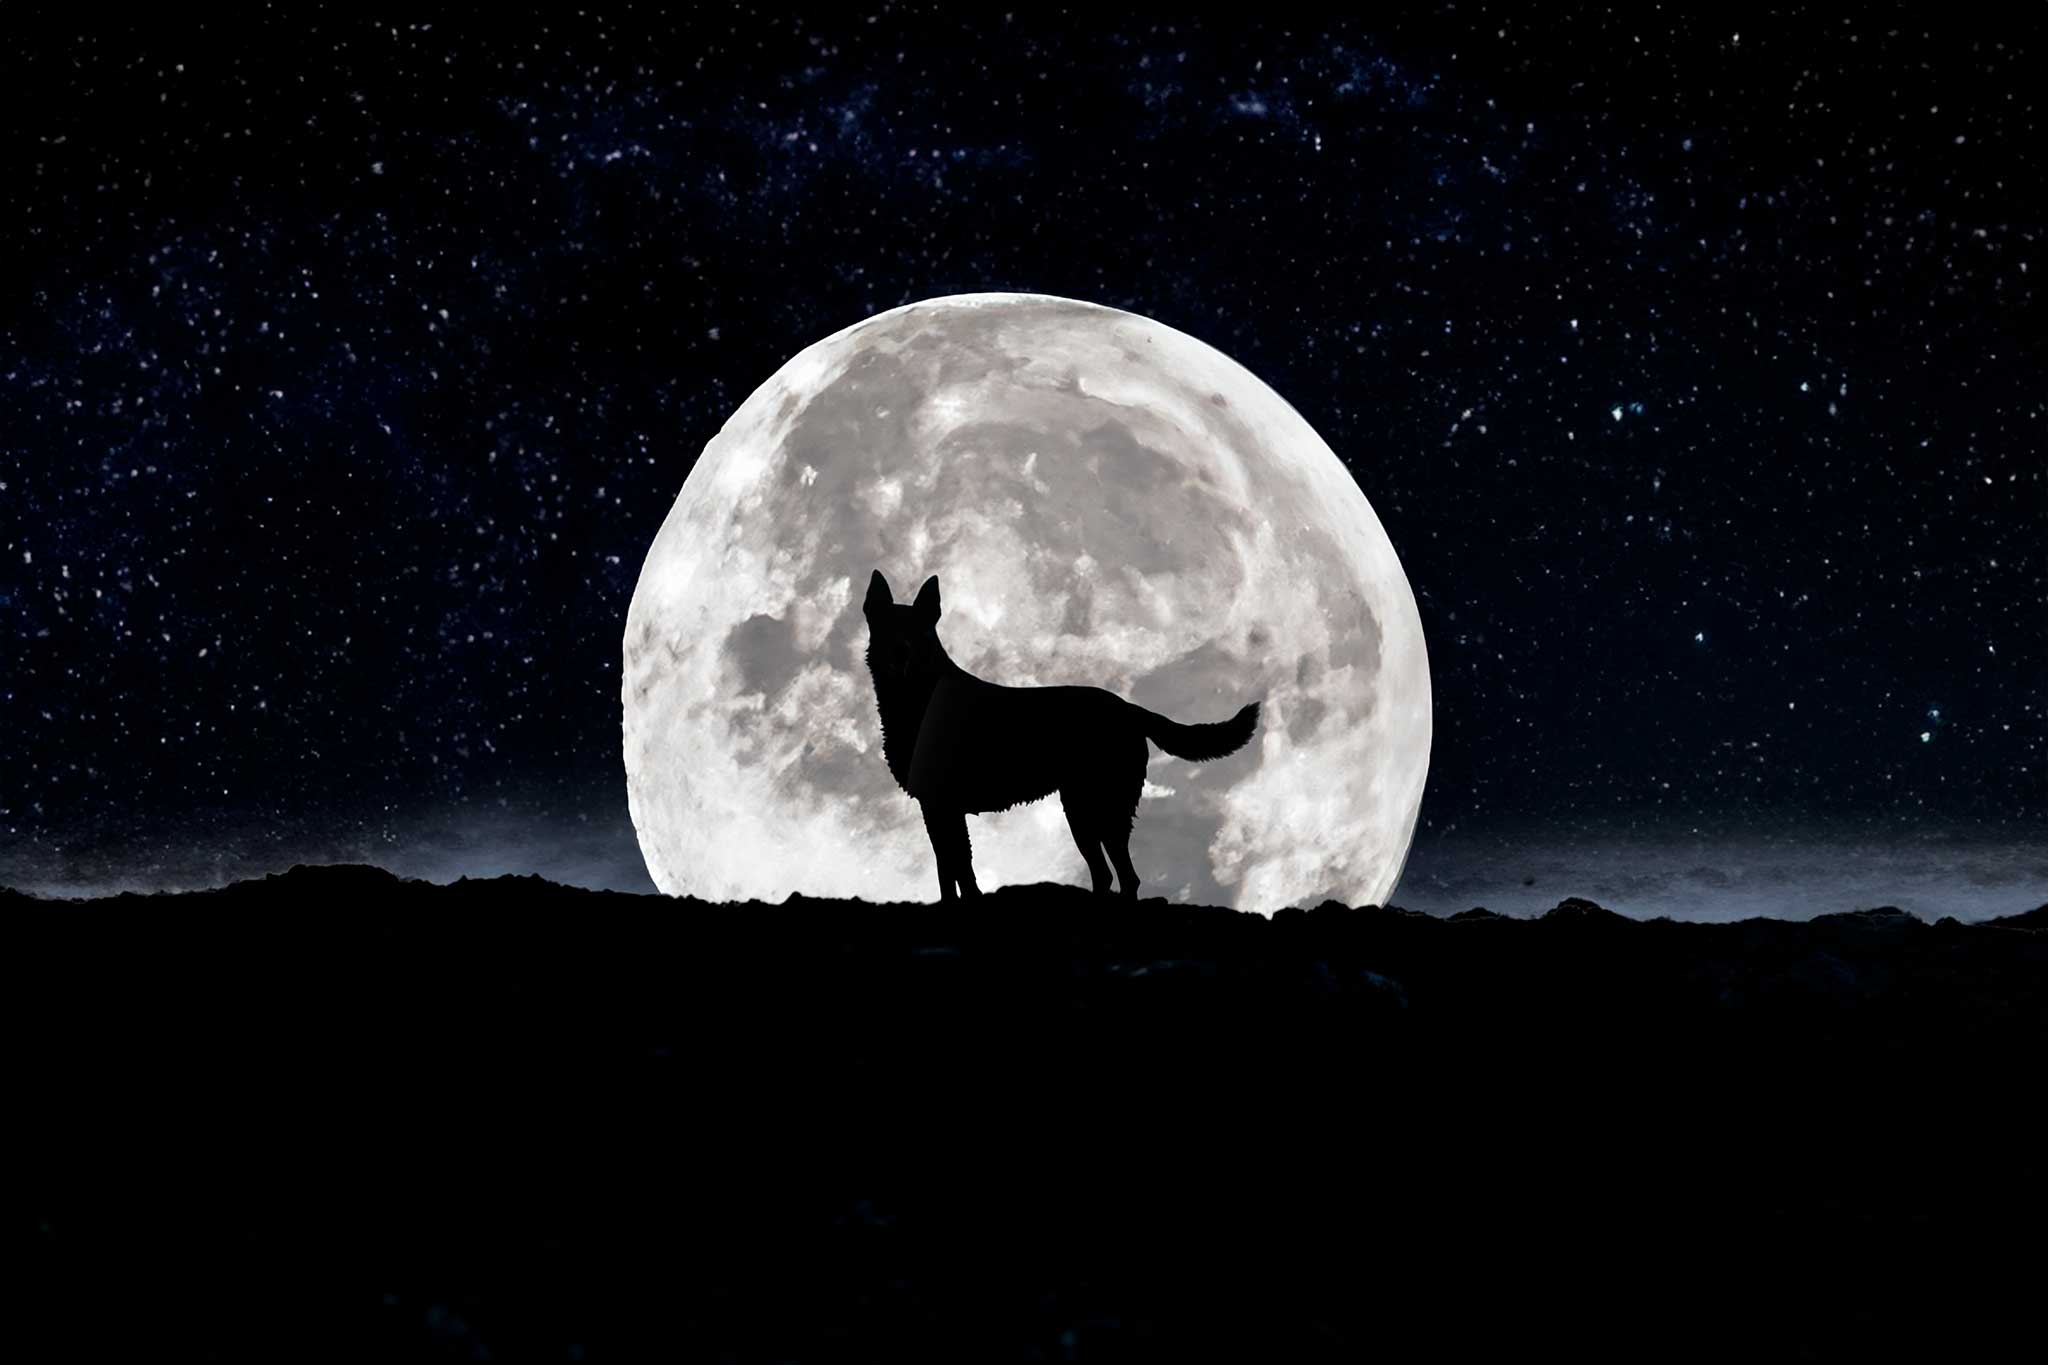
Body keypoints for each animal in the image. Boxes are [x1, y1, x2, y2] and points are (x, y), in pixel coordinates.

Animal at [862, 569, 1260, 902]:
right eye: (886, 628)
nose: (901, 653)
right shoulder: (937, 806)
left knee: (1124, 876)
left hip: (1097, 809)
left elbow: (958, 868)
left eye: (919, 633)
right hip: (1083, 812)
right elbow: (951, 870)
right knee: (1109, 875)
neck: (919, 695)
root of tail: (1129, 708)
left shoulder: (942, 805)